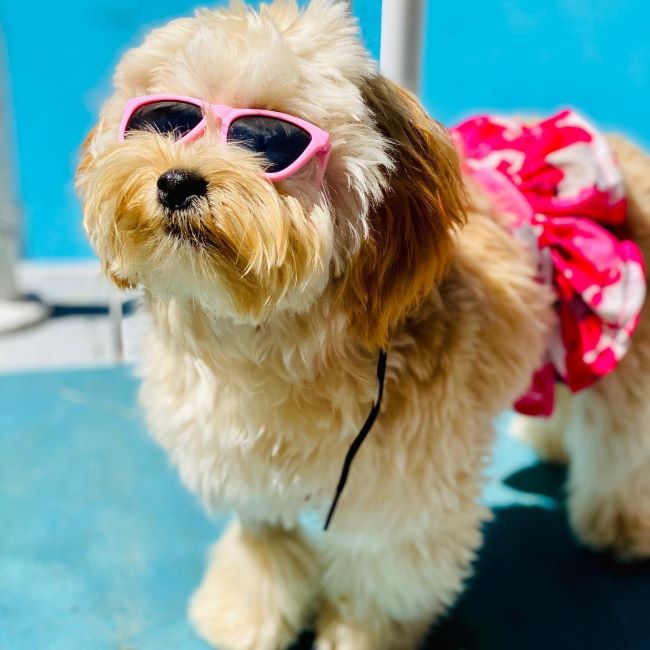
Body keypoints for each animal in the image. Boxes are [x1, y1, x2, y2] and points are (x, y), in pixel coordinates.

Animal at [77, 1, 650, 648]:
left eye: (271, 140)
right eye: (164, 118)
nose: (176, 181)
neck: (268, 343)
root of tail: (616, 142)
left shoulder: (401, 500)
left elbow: (380, 584)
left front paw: (358, 635)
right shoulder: (242, 469)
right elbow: (264, 548)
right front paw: (246, 613)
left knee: (621, 447)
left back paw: (622, 522)